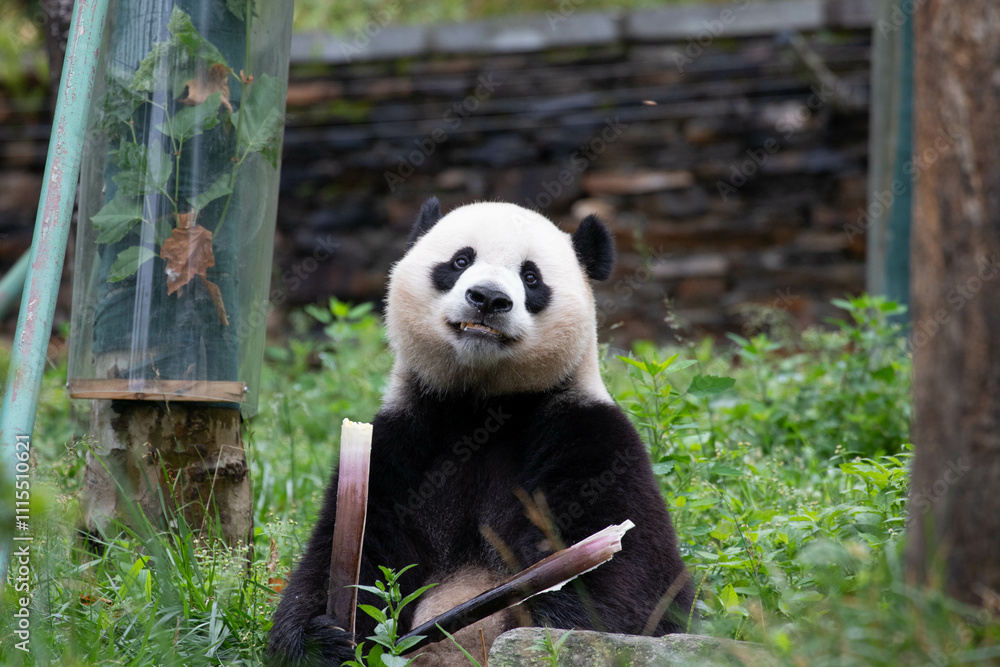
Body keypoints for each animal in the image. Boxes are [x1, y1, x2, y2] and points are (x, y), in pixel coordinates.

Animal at [268, 199, 693, 666]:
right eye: (460, 261)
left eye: (531, 276)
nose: (488, 298)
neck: (482, 404)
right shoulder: (401, 444)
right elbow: (354, 558)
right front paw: (321, 641)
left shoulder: (589, 438)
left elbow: (622, 574)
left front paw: (546, 639)